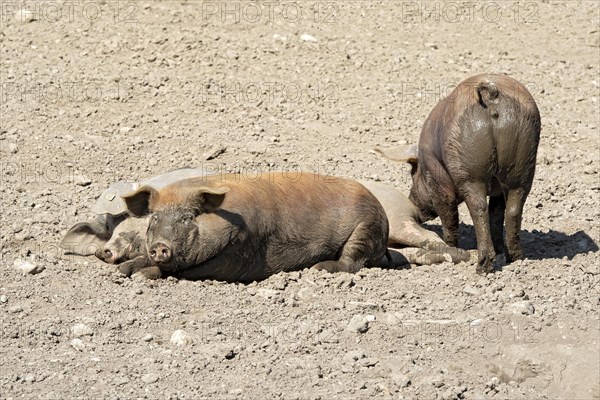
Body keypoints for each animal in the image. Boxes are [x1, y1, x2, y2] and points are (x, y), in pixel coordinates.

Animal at [120, 172, 392, 282]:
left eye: (188, 218)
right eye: (155, 218)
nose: (160, 246)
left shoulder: (236, 254)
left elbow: (183, 271)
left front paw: (140, 275)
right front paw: (124, 269)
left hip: (365, 229)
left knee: (352, 261)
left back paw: (318, 268)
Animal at [376, 73, 540, 274]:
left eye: (412, 174)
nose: (412, 203)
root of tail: (491, 96)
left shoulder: (437, 181)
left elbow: (449, 217)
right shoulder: (498, 190)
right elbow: (496, 215)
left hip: (469, 169)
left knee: (477, 208)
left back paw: (482, 266)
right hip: (523, 163)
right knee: (513, 210)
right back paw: (515, 258)